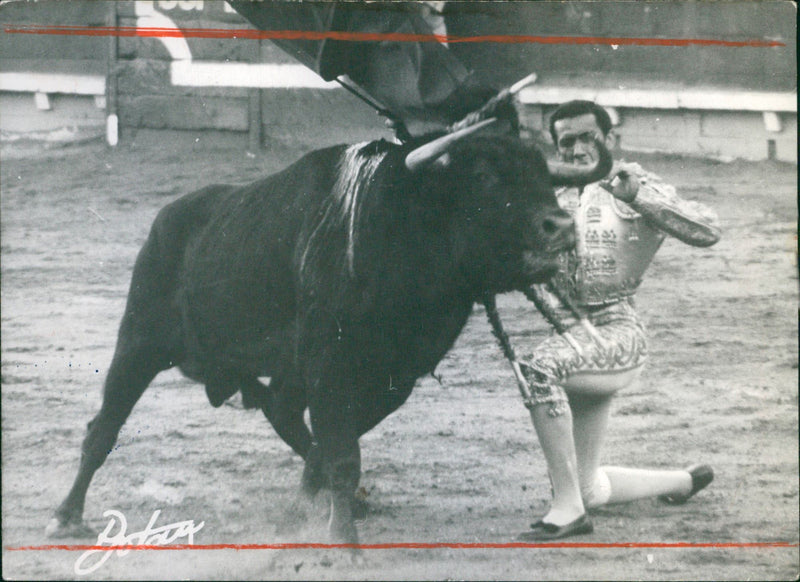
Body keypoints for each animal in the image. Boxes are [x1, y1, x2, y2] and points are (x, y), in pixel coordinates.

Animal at [48, 130, 612, 548]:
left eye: (545, 176)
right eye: (484, 177)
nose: (560, 226)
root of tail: (167, 219)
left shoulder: (394, 376)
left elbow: (335, 443)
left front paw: (320, 505)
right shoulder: (330, 363)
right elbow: (340, 449)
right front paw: (343, 537)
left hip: (279, 368)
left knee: (280, 410)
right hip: (139, 343)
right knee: (103, 427)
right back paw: (66, 515)